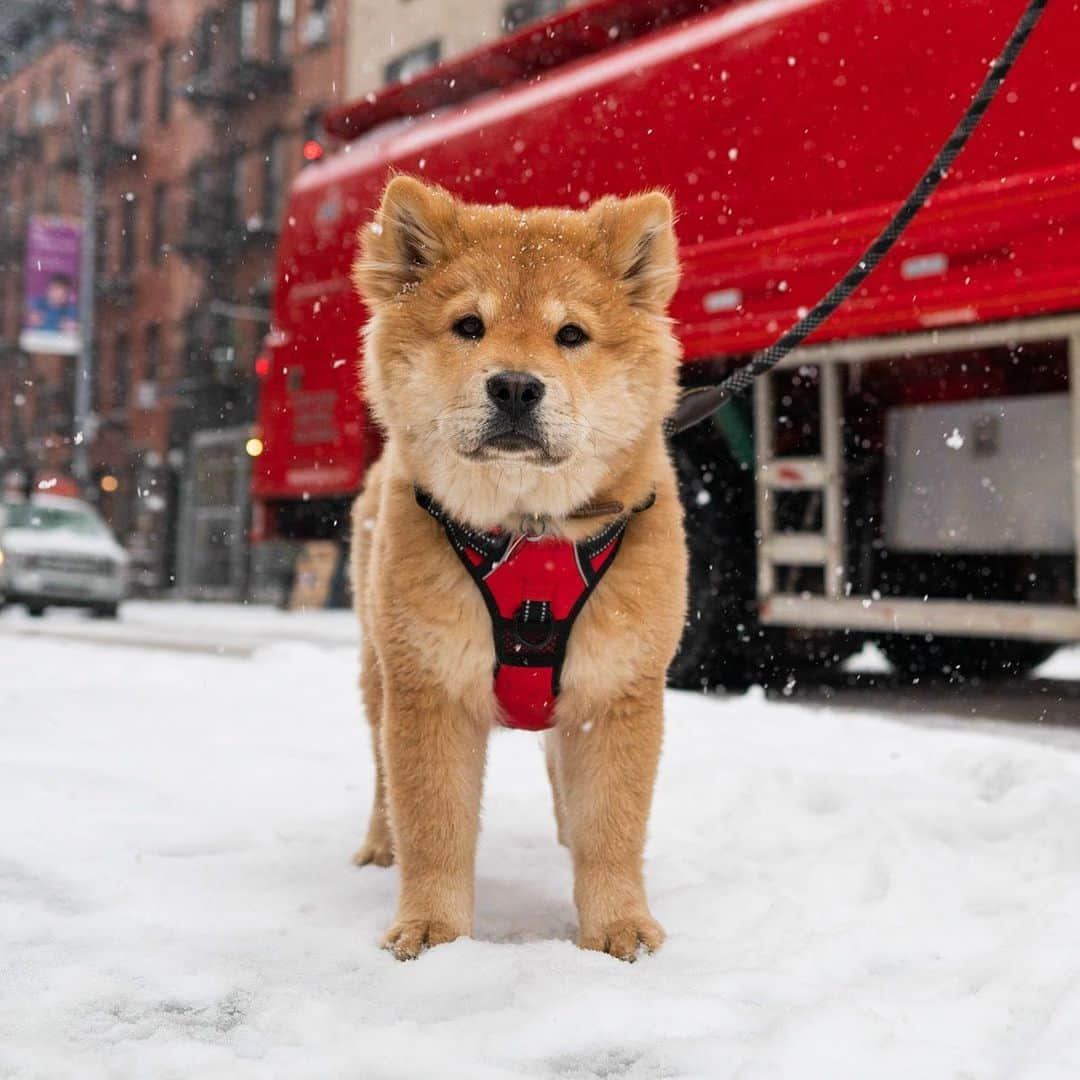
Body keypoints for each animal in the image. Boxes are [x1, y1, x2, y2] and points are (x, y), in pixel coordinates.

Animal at [347, 177, 682, 963]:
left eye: (572, 335)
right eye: (469, 326)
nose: (516, 388)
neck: (529, 536)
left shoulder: (618, 686)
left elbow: (612, 825)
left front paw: (619, 928)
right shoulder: (429, 684)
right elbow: (432, 823)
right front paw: (433, 932)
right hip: (378, 665)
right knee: (380, 775)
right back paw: (379, 846)